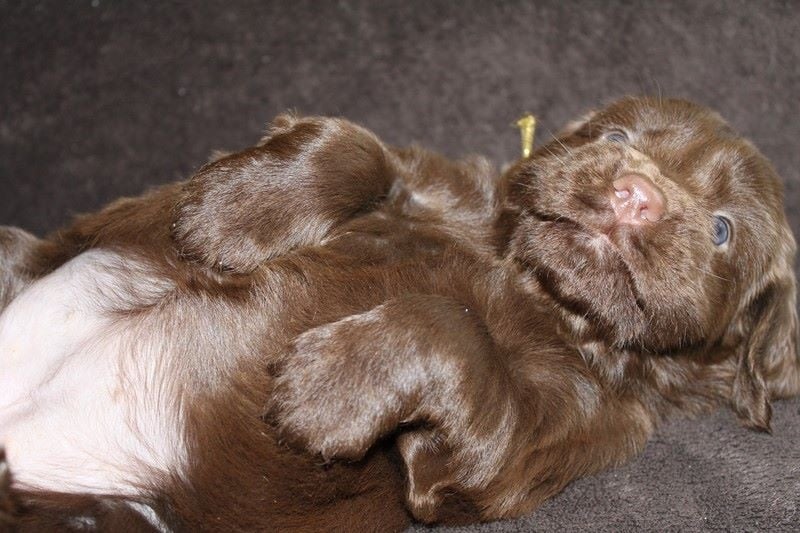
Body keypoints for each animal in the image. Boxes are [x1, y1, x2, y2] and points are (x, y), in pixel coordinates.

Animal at [0, 96, 796, 528]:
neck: (529, 283)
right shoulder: (437, 182)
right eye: (616, 137)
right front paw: (231, 214)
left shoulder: (540, 442)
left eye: (722, 228)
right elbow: (361, 146)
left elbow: (461, 332)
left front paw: (328, 388)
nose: (637, 194)